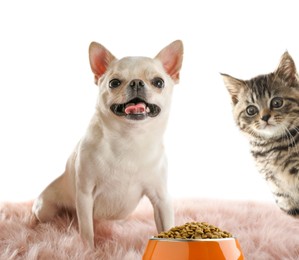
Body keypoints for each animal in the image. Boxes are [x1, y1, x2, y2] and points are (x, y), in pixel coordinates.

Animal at [31, 39, 184, 247]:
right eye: (114, 83)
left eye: (158, 82)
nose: (136, 82)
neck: (129, 138)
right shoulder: (85, 194)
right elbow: (87, 230)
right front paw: (88, 249)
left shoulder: (161, 199)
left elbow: (167, 226)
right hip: (45, 208)